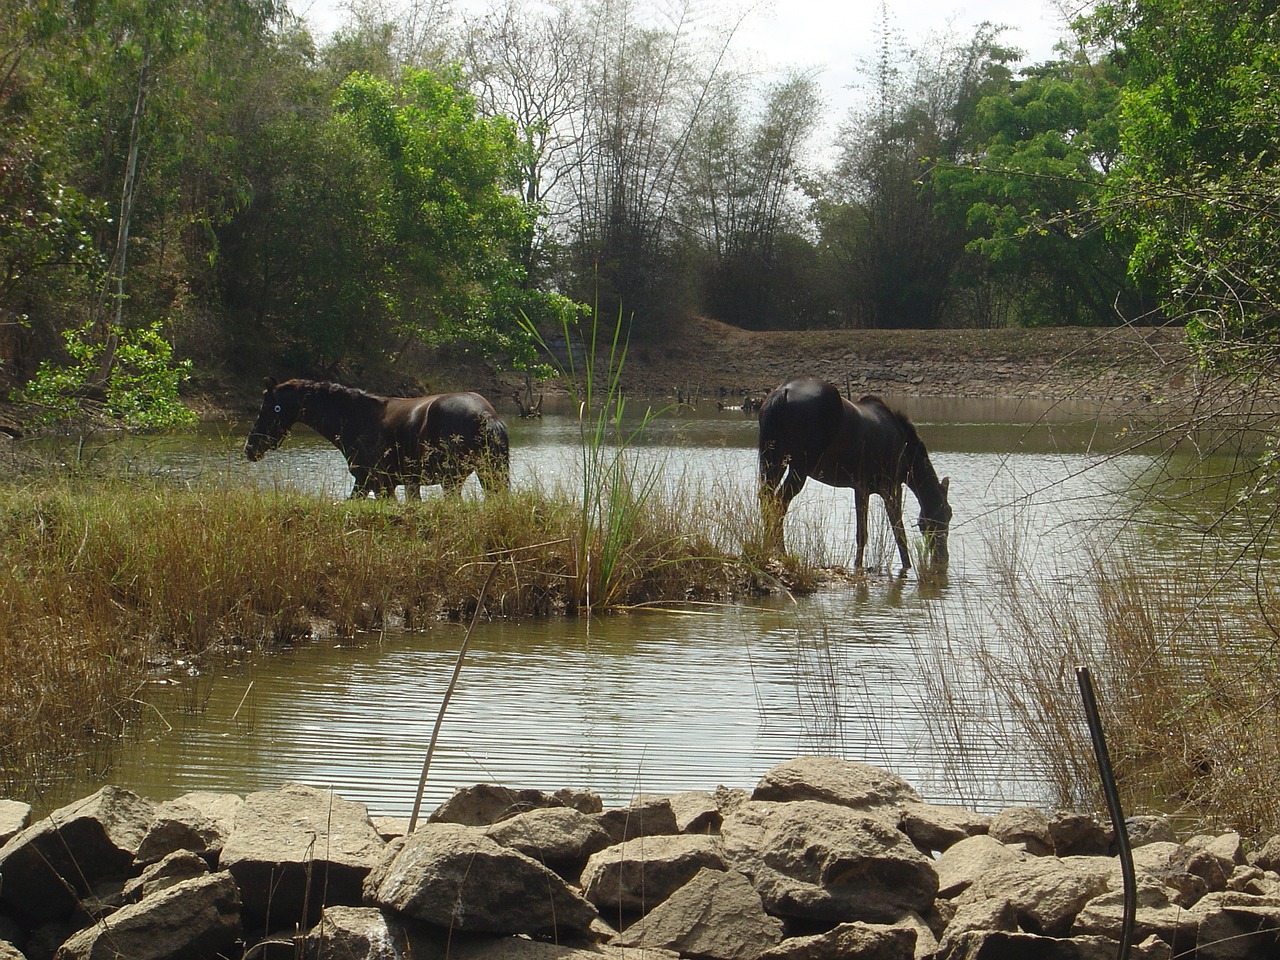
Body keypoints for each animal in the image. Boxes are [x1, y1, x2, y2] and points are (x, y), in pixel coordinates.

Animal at [244, 376, 509, 499]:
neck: (359, 419)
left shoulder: (373, 482)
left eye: (267, 409)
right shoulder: (378, 484)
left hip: (452, 480)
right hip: (487, 474)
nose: (249, 448)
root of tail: (486, 415)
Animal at [757, 378, 952, 570]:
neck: (906, 452)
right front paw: (906, 566)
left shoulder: (860, 487)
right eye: (945, 514)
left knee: (766, 497)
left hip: (773, 460)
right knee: (780, 501)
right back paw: (781, 551)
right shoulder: (890, 487)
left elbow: (863, 533)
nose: (942, 557)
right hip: (799, 467)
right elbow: (896, 532)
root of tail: (782, 392)